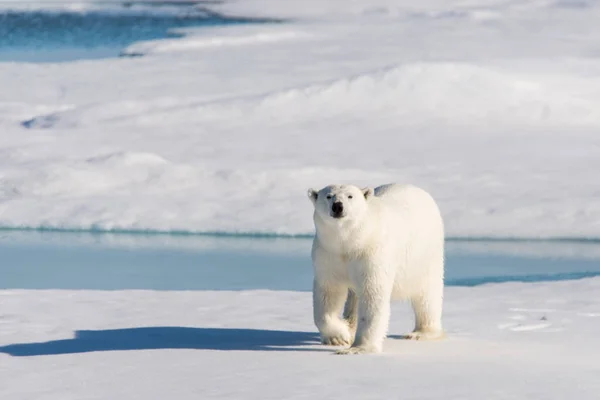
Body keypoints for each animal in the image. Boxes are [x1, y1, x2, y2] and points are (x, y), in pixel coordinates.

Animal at [308, 183, 442, 354]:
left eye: (350, 196)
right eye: (329, 196)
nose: (338, 206)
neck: (352, 241)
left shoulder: (371, 253)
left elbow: (372, 294)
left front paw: (358, 348)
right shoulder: (328, 254)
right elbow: (328, 293)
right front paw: (338, 337)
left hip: (425, 255)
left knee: (427, 293)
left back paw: (421, 333)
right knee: (353, 298)